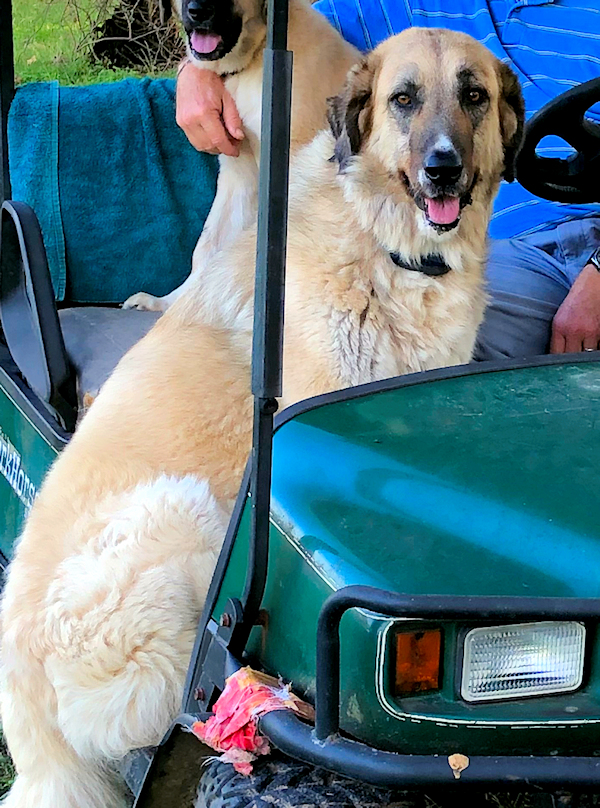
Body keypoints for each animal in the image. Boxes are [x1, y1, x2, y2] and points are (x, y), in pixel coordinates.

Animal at [0, 28, 524, 808]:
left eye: (474, 95)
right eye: (403, 99)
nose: (443, 171)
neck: (386, 244)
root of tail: (28, 720)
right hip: (188, 515)